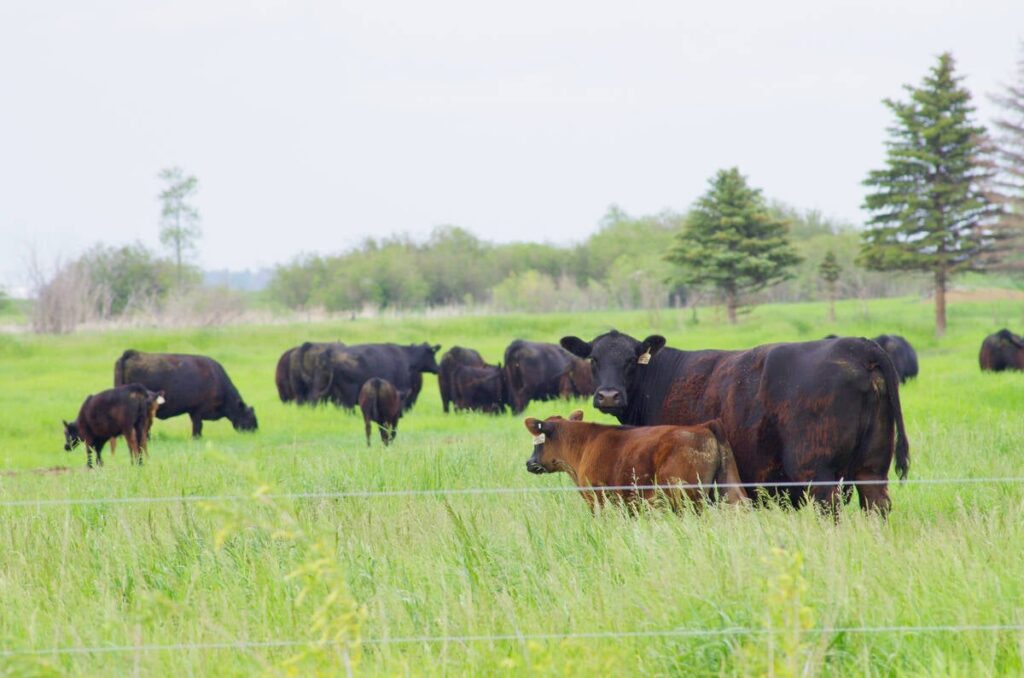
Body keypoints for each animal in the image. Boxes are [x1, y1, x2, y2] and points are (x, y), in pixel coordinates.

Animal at [524, 410, 747, 510]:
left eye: (538, 443)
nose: (529, 462)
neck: (586, 444)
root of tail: (705, 426)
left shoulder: (597, 499)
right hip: (732, 493)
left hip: (686, 498)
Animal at [560, 330, 910, 514]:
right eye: (593, 359)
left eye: (631, 360)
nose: (608, 395)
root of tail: (857, 345)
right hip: (872, 467)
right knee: (877, 504)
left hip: (816, 472)